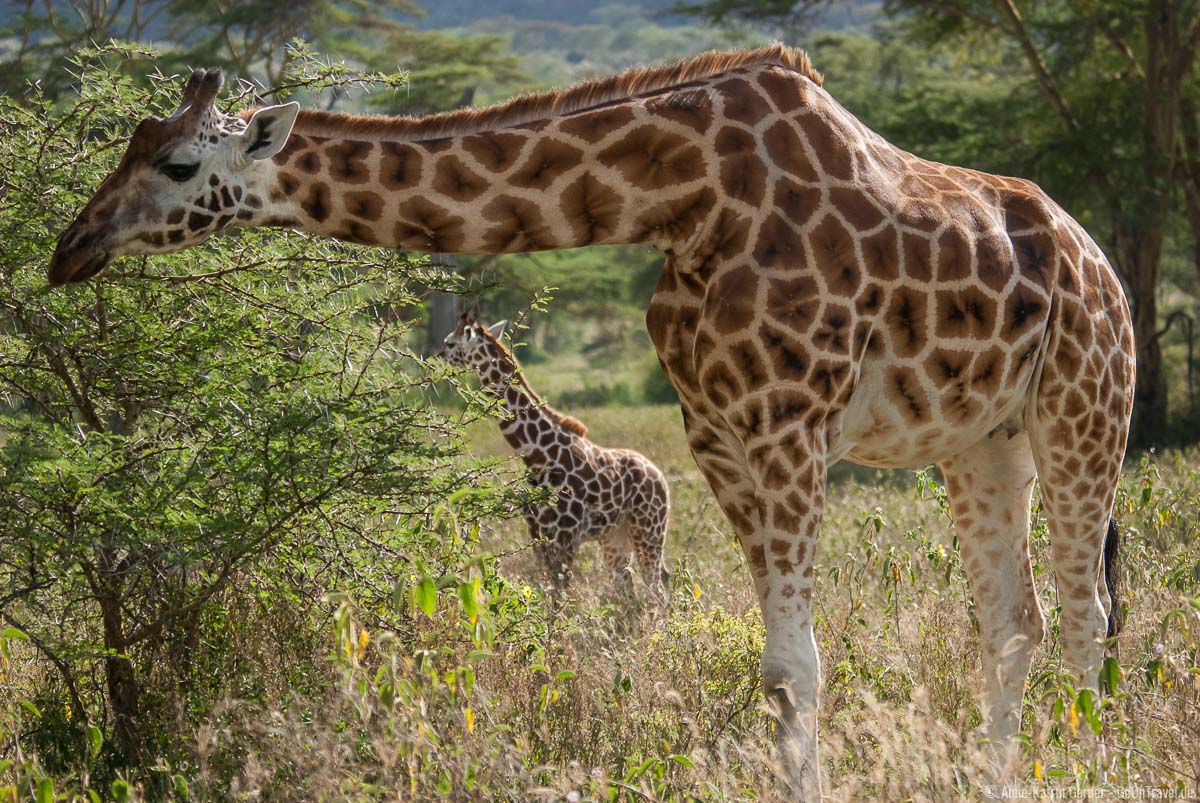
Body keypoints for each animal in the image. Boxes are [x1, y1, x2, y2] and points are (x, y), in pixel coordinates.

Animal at [441, 312, 672, 600]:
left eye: (450, 343)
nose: (438, 357)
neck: (536, 454)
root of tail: (660, 476)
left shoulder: (565, 535)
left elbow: (559, 597)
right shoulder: (538, 533)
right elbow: (544, 591)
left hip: (648, 529)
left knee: (656, 589)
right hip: (615, 536)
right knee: (629, 589)